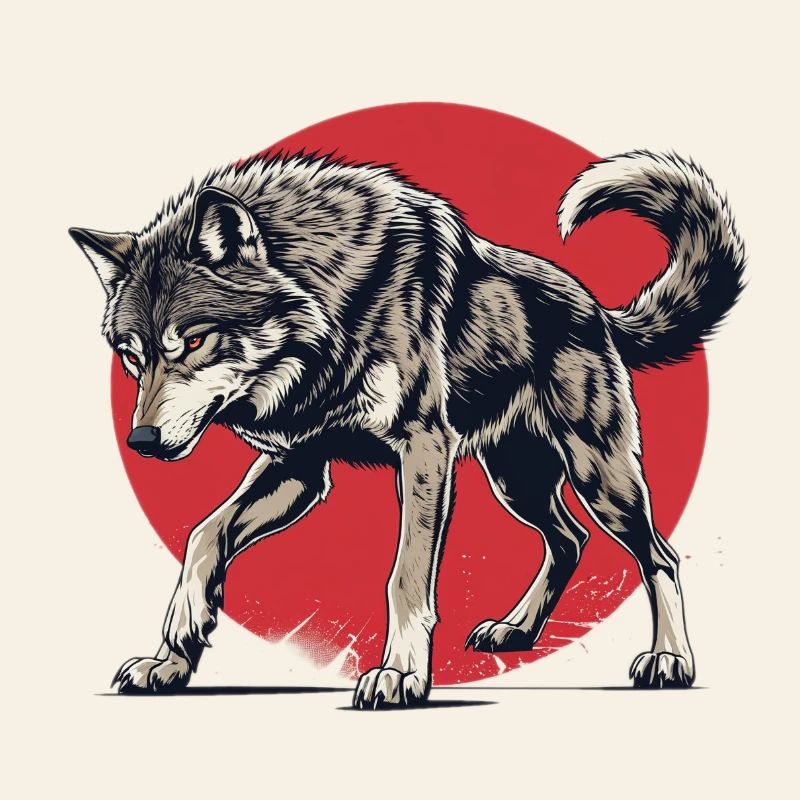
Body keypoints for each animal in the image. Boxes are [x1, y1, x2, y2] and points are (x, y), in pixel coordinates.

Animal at [71, 148, 744, 706]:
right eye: (131, 355)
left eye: (193, 341)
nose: (141, 442)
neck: (332, 309)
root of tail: (598, 308)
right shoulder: (298, 468)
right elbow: (203, 538)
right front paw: (172, 656)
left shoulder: (424, 450)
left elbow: (405, 577)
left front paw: (400, 675)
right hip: (518, 483)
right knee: (570, 540)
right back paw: (516, 629)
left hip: (599, 477)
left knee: (659, 556)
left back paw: (669, 660)